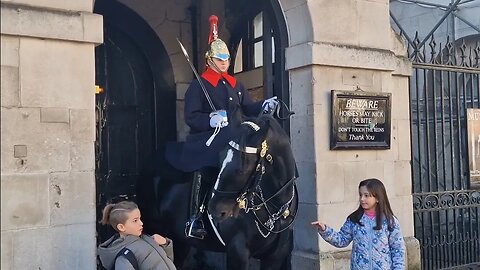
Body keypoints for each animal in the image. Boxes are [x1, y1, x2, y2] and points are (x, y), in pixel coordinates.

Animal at [137, 112, 298, 270]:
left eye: (241, 168)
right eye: (220, 158)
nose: (214, 209)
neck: (274, 206)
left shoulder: (275, 257)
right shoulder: (237, 253)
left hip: (180, 240)